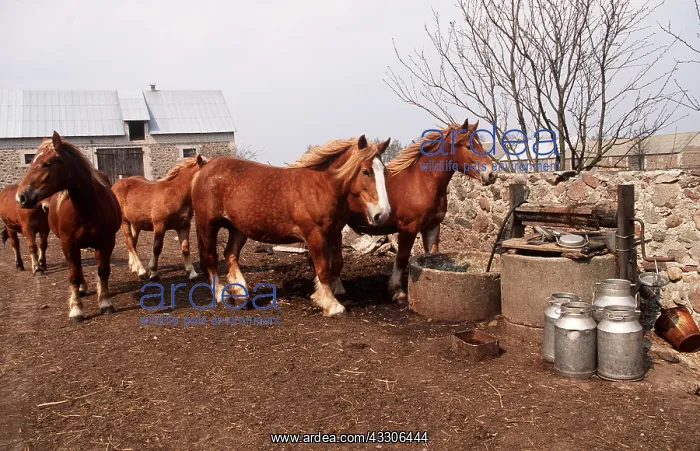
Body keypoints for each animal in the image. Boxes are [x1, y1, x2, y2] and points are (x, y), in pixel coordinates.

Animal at [15, 132, 122, 323]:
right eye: (31, 161)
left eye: (47, 164)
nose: (21, 197)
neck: (87, 208)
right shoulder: (68, 244)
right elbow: (74, 276)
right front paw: (76, 310)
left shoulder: (107, 241)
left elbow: (103, 271)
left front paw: (105, 302)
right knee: (77, 270)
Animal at [191, 135, 391, 317]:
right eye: (365, 171)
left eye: (384, 171)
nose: (383, 214)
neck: (322, 187)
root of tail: (204, 168)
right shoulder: (314, 234)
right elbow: (323, 268)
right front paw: (331, 304)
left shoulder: (335, 232)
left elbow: (336, 263)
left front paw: (330, 291)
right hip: (208, 225)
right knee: (212, 258)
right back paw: (220, 294)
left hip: (237, 228)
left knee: (231, 255)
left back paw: (240, 292)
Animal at [344, 119, 498, 303]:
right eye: (468, 146)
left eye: (480, 144)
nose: (491, 174)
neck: (421, 181)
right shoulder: (408, 229)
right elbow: (402, 259)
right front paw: (397, 291)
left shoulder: (432, 227)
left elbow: (432, 254)